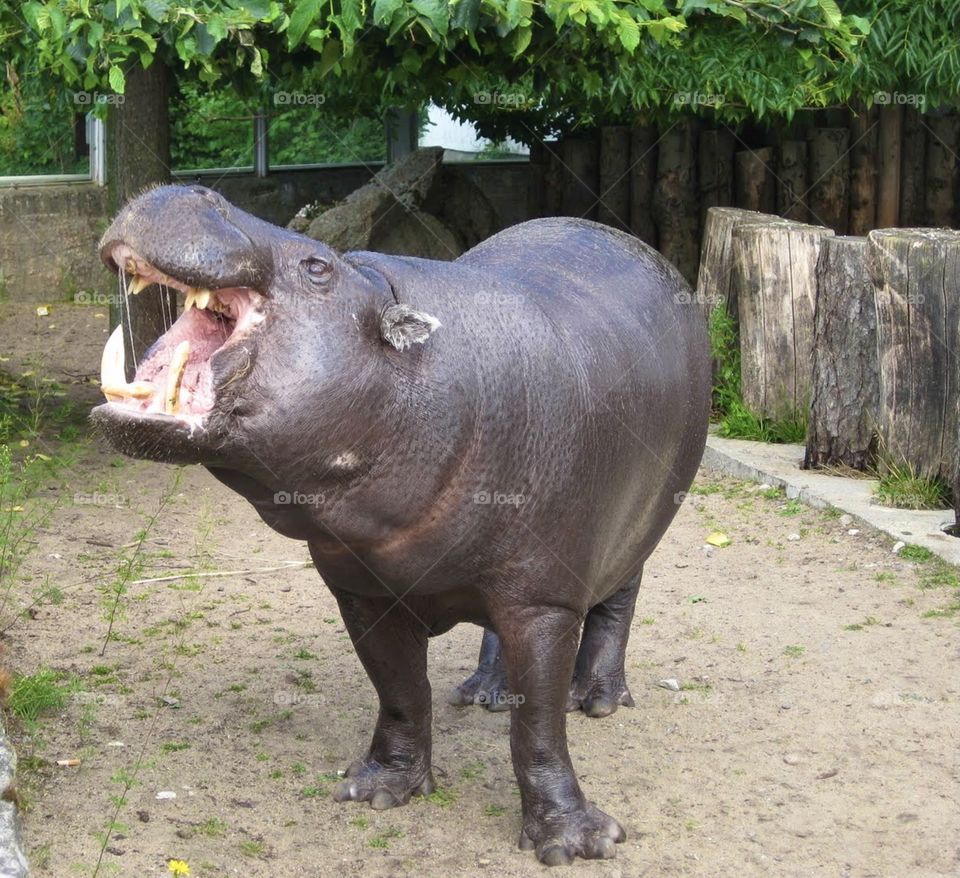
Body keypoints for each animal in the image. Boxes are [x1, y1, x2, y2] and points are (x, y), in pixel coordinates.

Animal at [94, 186, 708, 868]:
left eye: (318, 265)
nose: (184, 191)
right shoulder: (364, 592)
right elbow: (400, 692)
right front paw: (379, 790)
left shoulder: (543, 600)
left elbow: (540, 728)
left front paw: (574, 843)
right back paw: (485, 692)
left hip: (644, 516)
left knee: (620, 598)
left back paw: (598, 699)